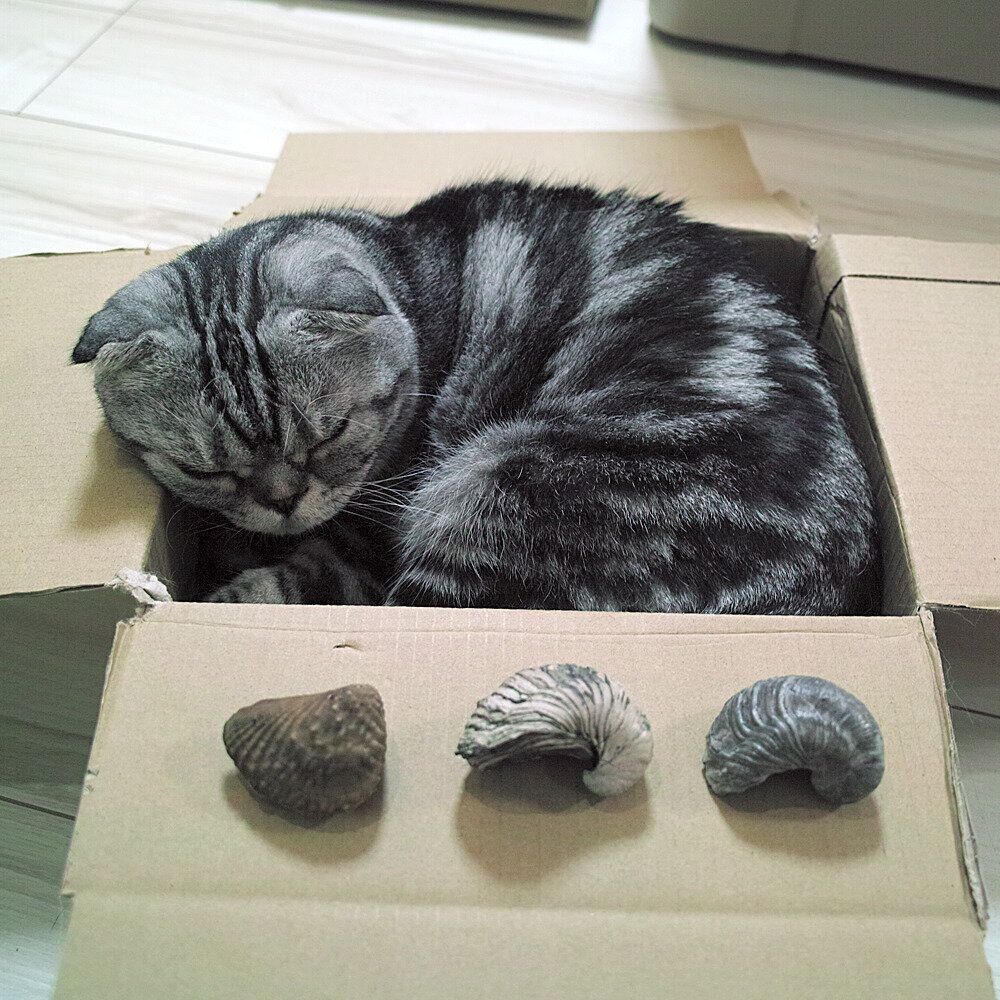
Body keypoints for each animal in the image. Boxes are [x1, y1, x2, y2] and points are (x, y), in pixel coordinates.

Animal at [72, 180, 879, 614]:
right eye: (204, 470)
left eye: (330, 435)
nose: (281, 502)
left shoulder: (362, 544)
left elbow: (297, 577)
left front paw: (229, 592)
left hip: (497, 487)